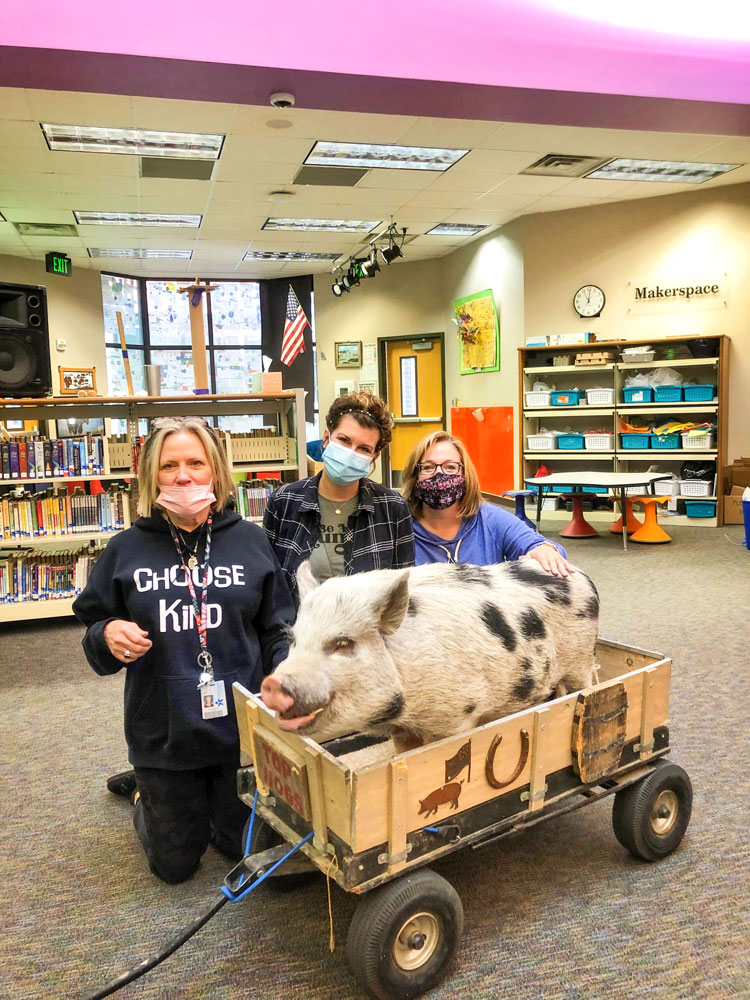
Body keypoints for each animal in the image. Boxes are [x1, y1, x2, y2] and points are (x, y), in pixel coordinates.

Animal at [262, 556, 604, 752]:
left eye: (343, 643)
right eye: (295, 640)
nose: (272, 684)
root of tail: (582, 575)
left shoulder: (457, 717)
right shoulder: (403, 731)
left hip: (580, 661)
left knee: (587, 686)